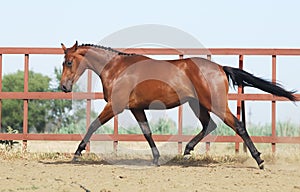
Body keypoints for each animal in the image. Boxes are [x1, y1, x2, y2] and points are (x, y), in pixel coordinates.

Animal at [59, 41, 296, 169]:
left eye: (69, 62)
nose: (63, 87)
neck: (118, 69)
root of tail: (220, 67)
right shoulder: (136, 108)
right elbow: (147, 132)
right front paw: (156, 159)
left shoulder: (115, 105)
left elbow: (93, 125)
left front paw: (77, 153)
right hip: (197, 104)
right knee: (209, 126)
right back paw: (188, 150)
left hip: (216, 105)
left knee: (238, 125)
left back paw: (259, 160)